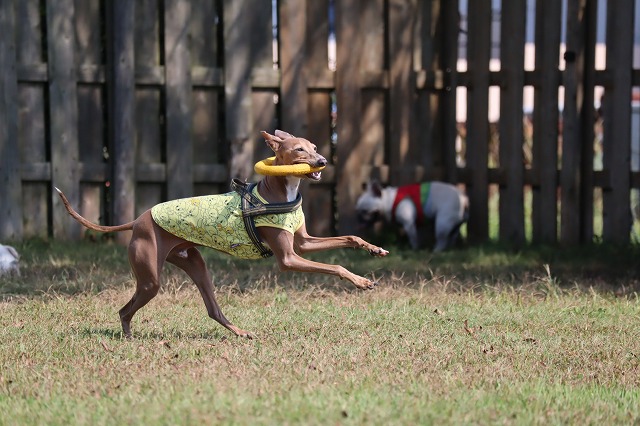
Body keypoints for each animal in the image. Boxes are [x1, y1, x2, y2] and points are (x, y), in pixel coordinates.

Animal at [56, 130, 388, 339]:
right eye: (299, 149)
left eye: (316, 148)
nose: (322, 162)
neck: (281, 190)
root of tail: (137, 220)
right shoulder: (289, 258)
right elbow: (336, 266)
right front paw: (361, 281)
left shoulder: (303, 244)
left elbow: (348, 239)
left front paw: (374, 249)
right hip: (150, 278)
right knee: (125, 309)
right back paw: (128, 338)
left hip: (194, 263)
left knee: (213, 309)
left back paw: (240, 332)